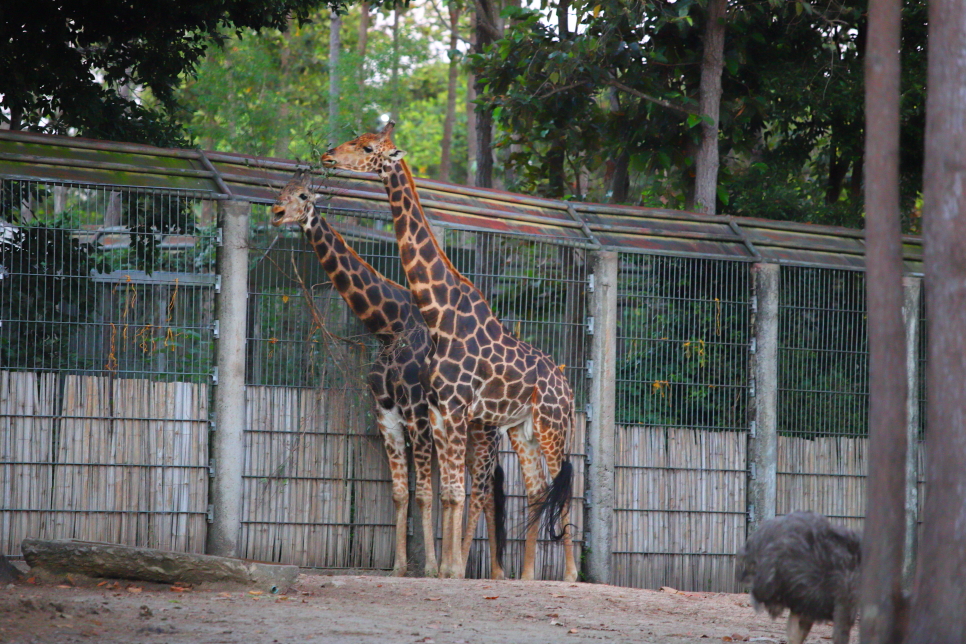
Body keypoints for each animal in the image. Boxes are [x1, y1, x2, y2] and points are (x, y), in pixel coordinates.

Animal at [266, 171, 502, 580]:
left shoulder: (417, 412)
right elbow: (401, 492)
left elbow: (424, 493)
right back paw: (491, 570)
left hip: (484, 431)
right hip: (470, 434)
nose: (277, 213)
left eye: (303, 195)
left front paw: (430, 568)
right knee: (480, 489)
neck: (390, 325)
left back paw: (469, 567)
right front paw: (399, 566)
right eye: (280, 191)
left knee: (483, 489)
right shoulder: (386, 412)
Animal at [322, 123, 580, 580]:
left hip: (551, 427)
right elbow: (446, 493)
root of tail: (567, 388)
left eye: (368, 147)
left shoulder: (454, 410)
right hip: (522, 430)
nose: (328, 155)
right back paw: (526, 575)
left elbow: (457, 492)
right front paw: (443, 567)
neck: (438, 313)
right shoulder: (439, 411)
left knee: (562, 486)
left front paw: (452, 570)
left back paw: (568, 575)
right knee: (536, 491)